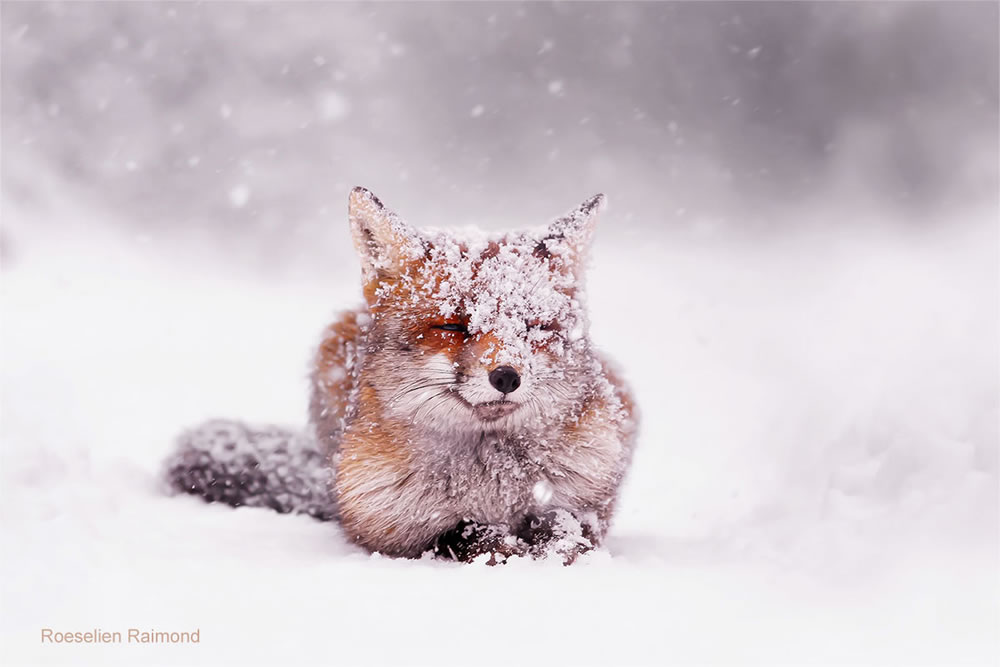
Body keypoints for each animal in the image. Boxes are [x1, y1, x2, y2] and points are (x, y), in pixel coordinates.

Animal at [163, 187, 632, 564]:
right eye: (453, 326)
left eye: (534, 327)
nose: (506, 377)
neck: (490, 480)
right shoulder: (387, 526)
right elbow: (467, 533)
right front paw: (505, 549)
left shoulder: (586, 502)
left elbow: (567, 528)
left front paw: (558, 551)